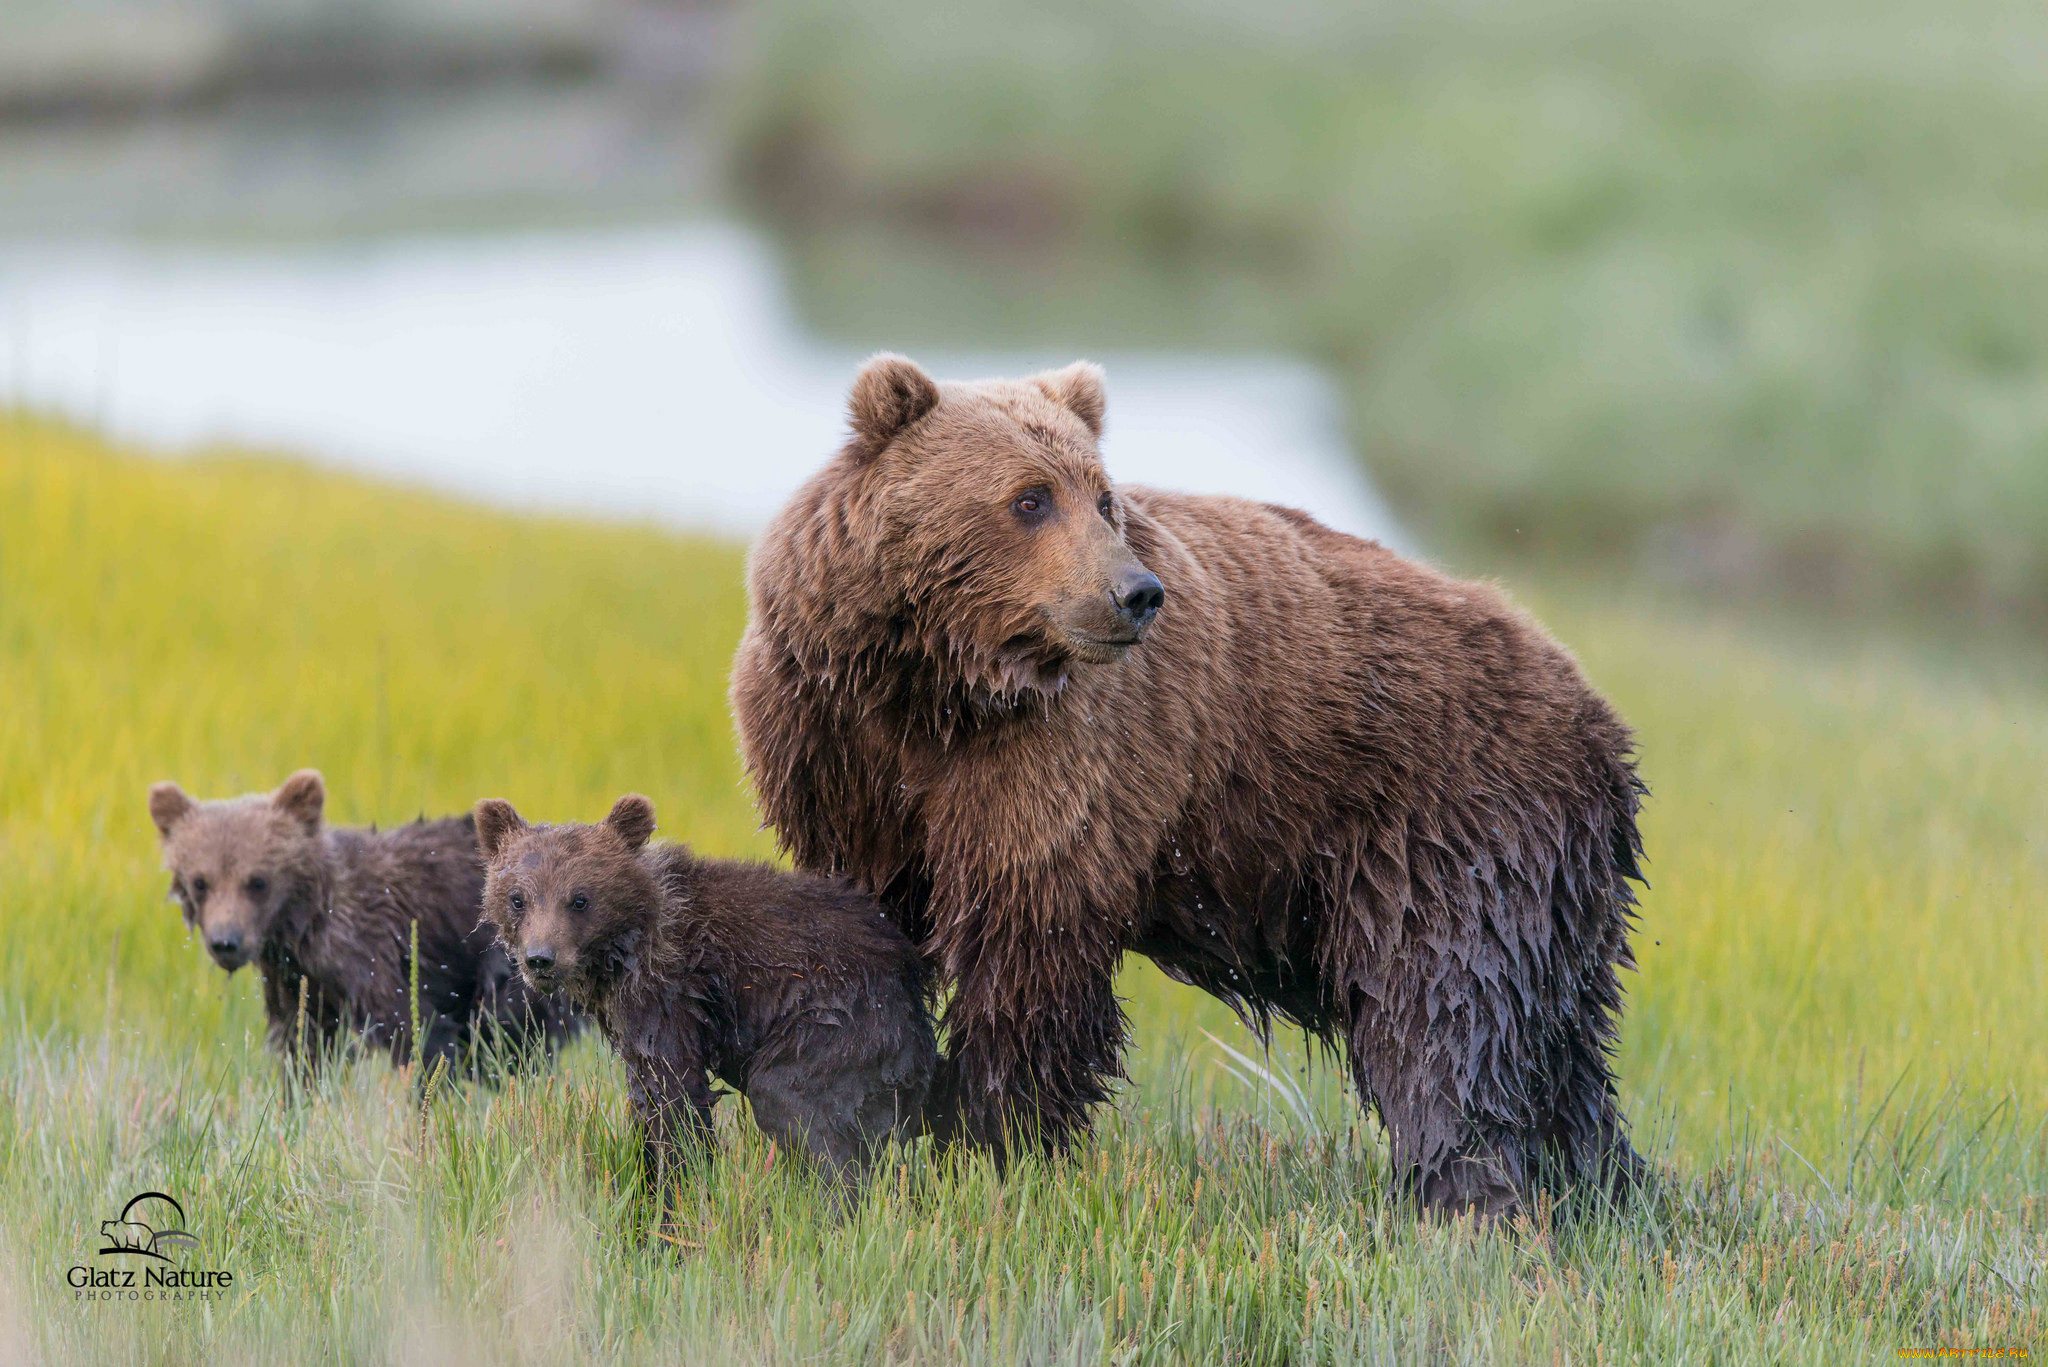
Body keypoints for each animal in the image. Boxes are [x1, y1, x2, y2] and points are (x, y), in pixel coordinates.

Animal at [729, 356, 1638, 1221]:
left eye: (1102, 497)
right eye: (1030, 497)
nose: (1135, 593)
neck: (937, 688)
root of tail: (1597, 711)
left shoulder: (1058, 763)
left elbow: (1027, 952)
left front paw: (992, 1139)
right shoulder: (834, 748)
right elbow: (861, 923)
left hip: (1451, 825)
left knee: (1447, 1013)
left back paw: (1469, 1199)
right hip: (1546, 878)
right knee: (1556, 1040)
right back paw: (1599, 1186)